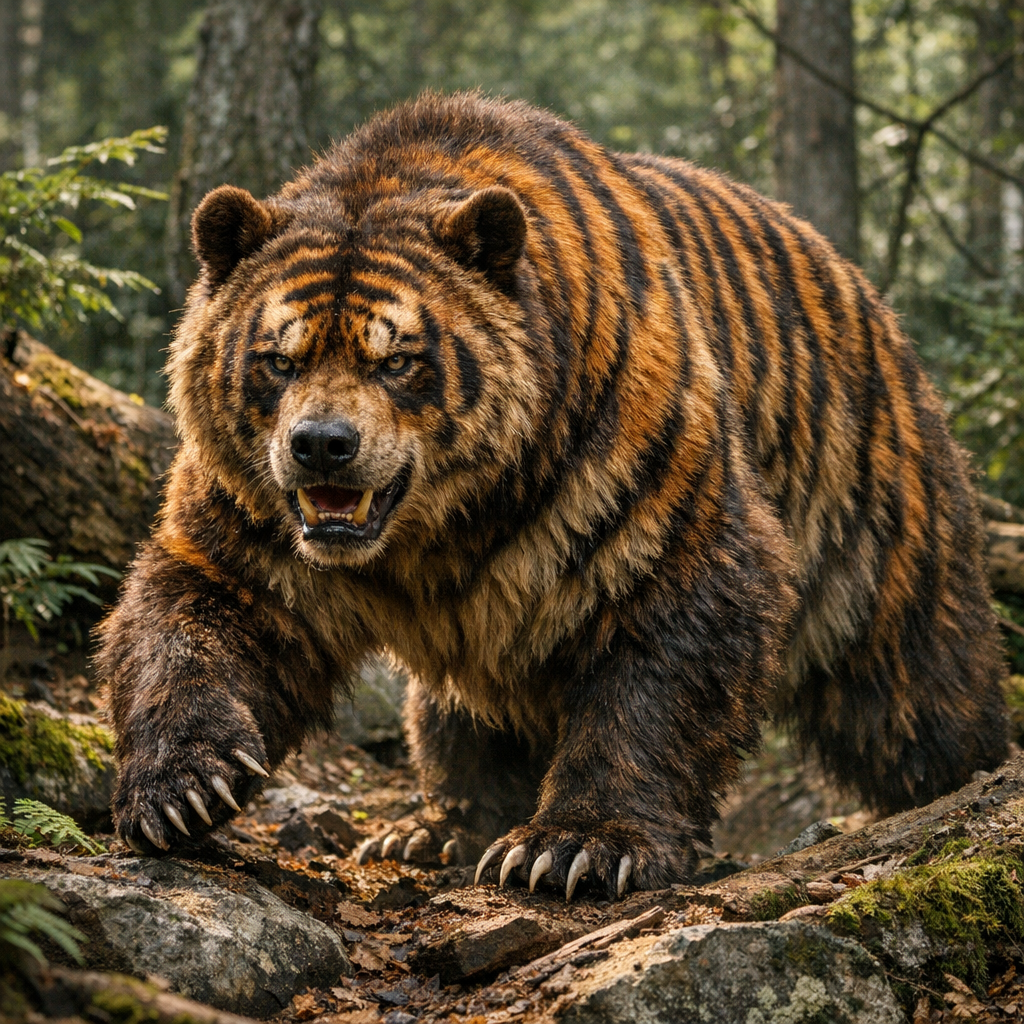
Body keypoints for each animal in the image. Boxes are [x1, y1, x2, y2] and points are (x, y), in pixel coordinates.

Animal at [97, 91, 1008, 900]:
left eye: (399, 359)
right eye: (278, 358)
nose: (322, 444)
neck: (440, 528)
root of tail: (868, 294)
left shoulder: (637, 489)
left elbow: (664, 651)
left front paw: (576, 846)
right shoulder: (251, 513)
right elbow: (198, 612)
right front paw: (183, 789)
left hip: (877, 526)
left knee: (919, 693)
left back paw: (968, 774)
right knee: (455, 714)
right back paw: (431, 828)